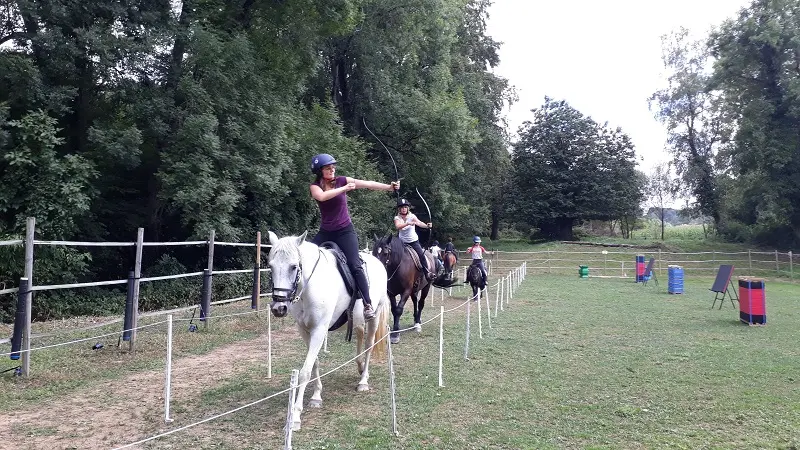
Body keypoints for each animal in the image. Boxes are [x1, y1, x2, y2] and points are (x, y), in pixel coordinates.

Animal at [268, 230, 390, 430]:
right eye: (270, 267)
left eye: (293, 267)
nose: (279, 308)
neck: (309, 286)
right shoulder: (305, 330)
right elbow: (314, 363)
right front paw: (317, 396)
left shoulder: (319, 329)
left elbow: (305, 371)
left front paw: (295, 417)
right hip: (357, 320)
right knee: (360, 335)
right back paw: (360, 366)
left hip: (375, 315)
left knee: (369, 345)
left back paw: (363, 380)